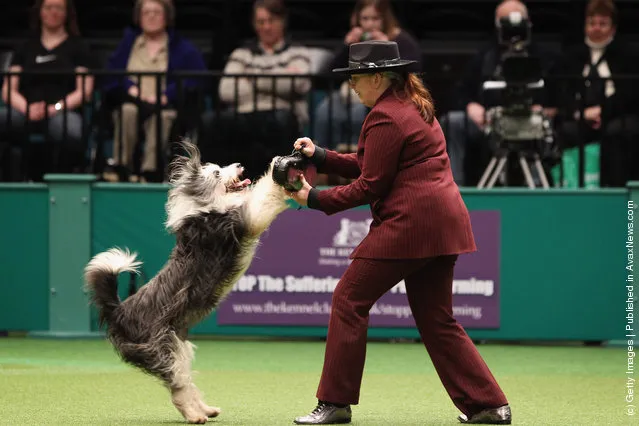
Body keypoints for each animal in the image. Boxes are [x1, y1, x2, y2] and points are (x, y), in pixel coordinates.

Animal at [84, 141, 288, 424]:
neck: (205, 207)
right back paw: (195, 415)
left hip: (180, 346)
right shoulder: (244, 219)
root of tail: (118, 310)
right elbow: (262, 197)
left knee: (186, 384)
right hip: (161, 348)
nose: (239, 164)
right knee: (177, 387)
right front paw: (279, 172)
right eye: (216, 173)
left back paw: (206, 409)